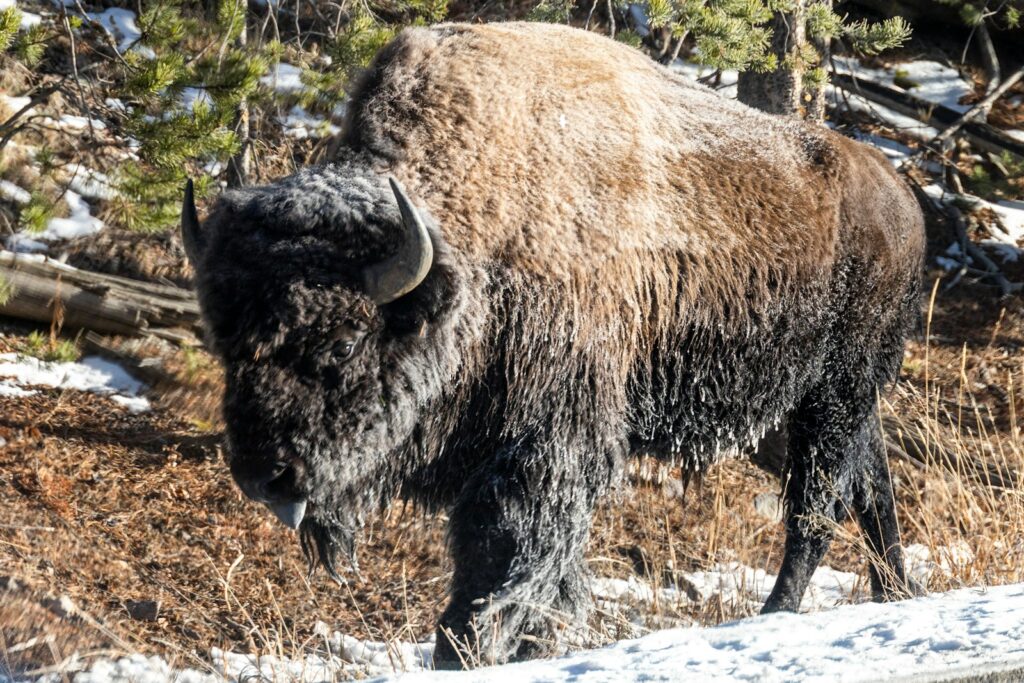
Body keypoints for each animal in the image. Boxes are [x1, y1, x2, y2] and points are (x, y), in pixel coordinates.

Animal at [182, 22, 926, 667]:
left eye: (339, 346)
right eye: (225, 342)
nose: (264, 475)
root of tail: (903, 195)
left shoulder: (542, 445)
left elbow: (507, 557)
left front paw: (473, 647)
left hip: (833, 393)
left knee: (819, 503)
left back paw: (780, 611)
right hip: (795, 406)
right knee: (871, 483)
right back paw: (894, 593)